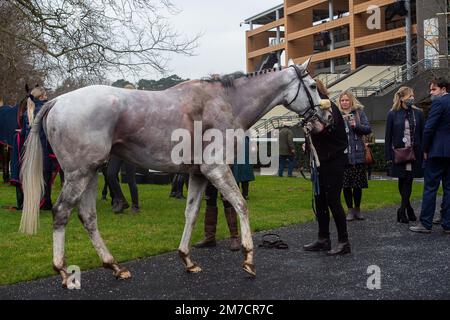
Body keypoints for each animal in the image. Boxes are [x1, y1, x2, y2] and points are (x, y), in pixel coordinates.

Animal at [20, 59, 330, 288]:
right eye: (312, 85)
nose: (325, 117)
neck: (226, 100)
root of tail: (58, 101)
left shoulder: (199, 174)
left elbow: (191, 214)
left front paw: (187, 259)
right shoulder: (216, 168)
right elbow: (241, 205)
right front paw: (249, 259)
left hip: (91, 173)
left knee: (88, 217)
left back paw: (115, 266)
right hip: (79, 173)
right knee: (62, 212)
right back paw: (62, 270)